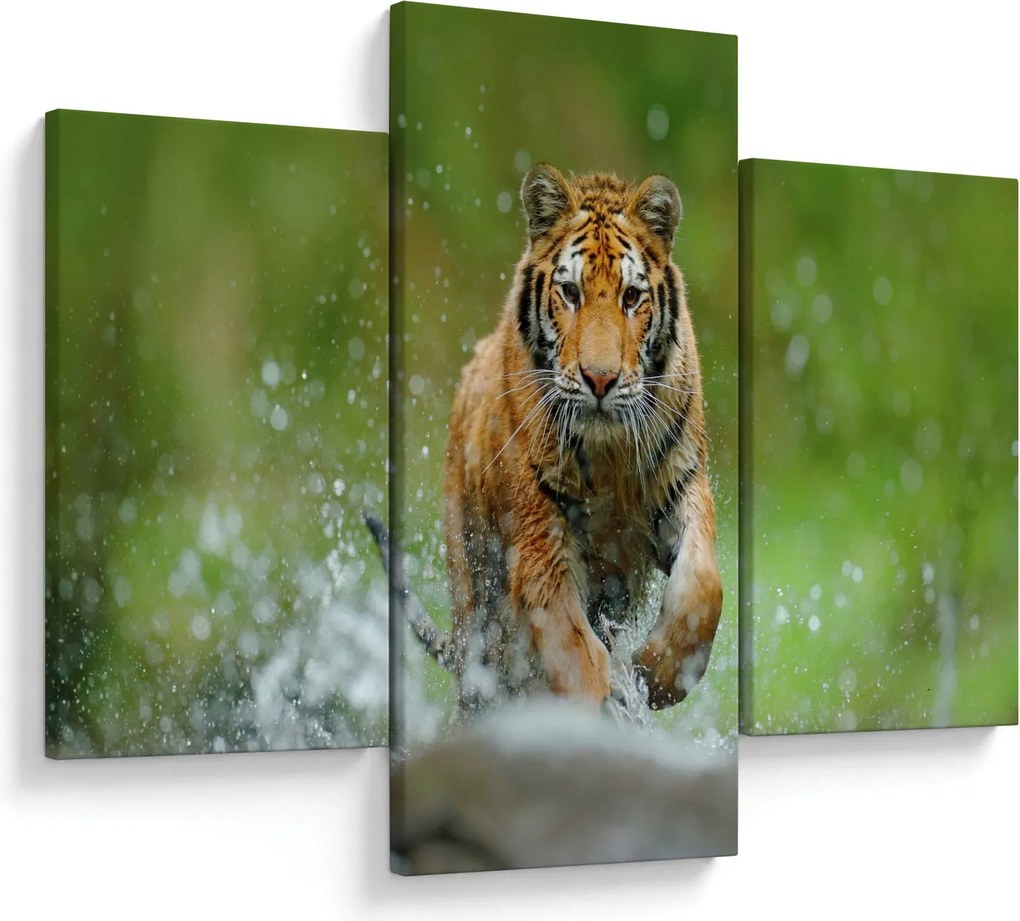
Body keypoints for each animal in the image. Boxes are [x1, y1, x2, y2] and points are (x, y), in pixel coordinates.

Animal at [442, 163, 722, 711]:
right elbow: (573, 655)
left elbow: (704, 587)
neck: (609, 450)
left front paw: (656, 674)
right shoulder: (540, 541)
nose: (599, 379)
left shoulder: (682, 484)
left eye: (631, 297)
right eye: (570, 292)